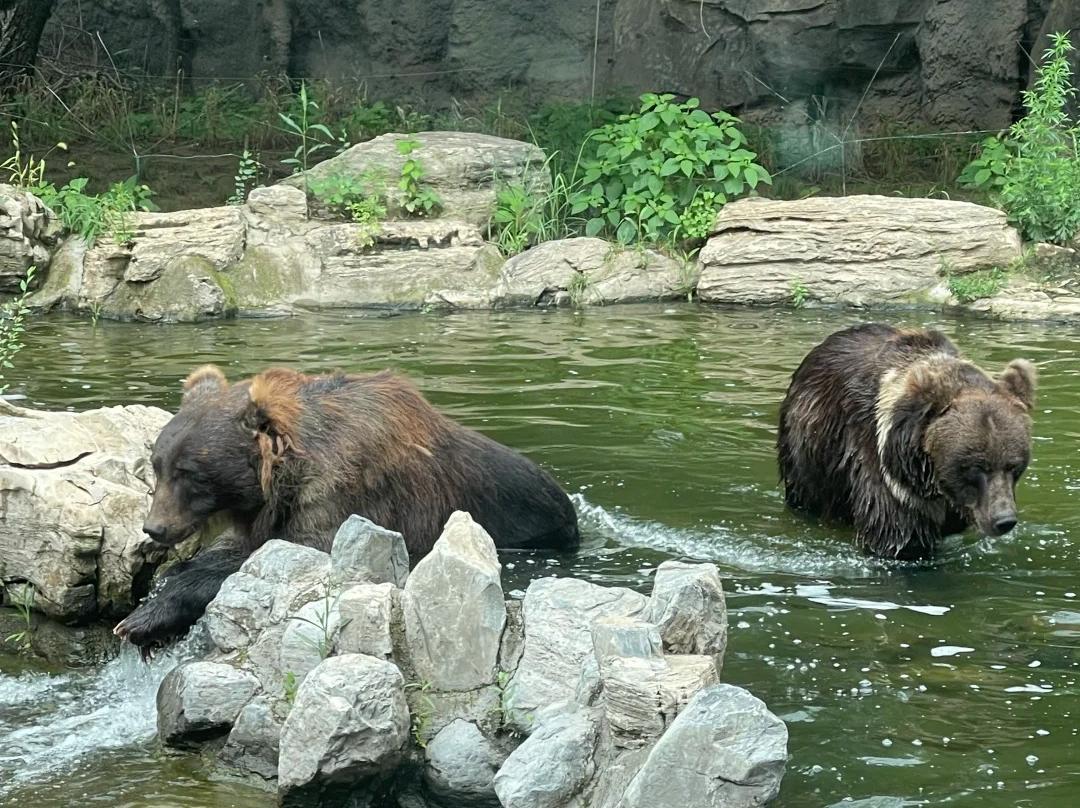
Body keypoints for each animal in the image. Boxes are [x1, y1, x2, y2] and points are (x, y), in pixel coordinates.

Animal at [114, 365, 580, 652]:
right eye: (158, 465)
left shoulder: (346, 495)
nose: (154, 528)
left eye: (190, 473)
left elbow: (297, 553)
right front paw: (165, 583)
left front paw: (144, 616)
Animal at [777, 323, 1037, 559]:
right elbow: (897, 532)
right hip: (812, 448)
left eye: (1014, 466)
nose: (1004, 520)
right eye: (976, 467)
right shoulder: (888, 473)